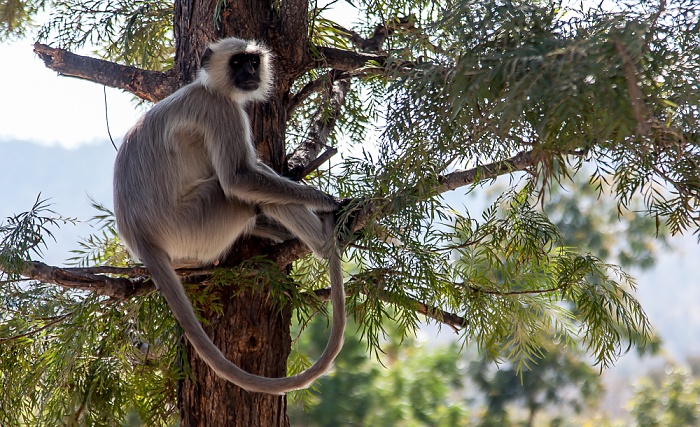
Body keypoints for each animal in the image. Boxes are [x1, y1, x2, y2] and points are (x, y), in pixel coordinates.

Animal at [112, 36, 344, 394]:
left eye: (252, 61)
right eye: (237, 62)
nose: (249, 72)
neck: (209, 88)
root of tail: (141, 238)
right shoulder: (221, 111)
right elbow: (239, 178)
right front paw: (326, 201)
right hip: (196, 222)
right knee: (238, 192)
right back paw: (324, 244)